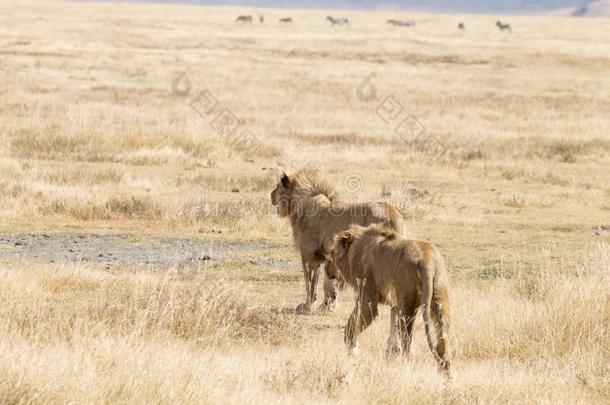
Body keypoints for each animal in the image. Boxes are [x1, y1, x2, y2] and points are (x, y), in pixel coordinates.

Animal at [270, 169, 404, 314]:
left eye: (277, 187)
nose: (271, 195)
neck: (301, 205)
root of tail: (394, 215)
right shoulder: (326, 257)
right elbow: (328, 283)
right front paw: (327, 306)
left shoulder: (309, 255)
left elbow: (310, 283)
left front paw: (308, 306)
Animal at [324, 223, 452, 374]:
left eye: (332, 254)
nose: (326, 268)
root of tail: (427, 261)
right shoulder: (394, 305)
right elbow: (392, 329)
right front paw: (391, 353)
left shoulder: (366, 299)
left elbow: (352, 324)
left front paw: (352, 348)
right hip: (439, 298)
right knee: (442, 341)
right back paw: (446, 374)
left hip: (407, 307)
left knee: (408, 346)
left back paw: (407, 369)